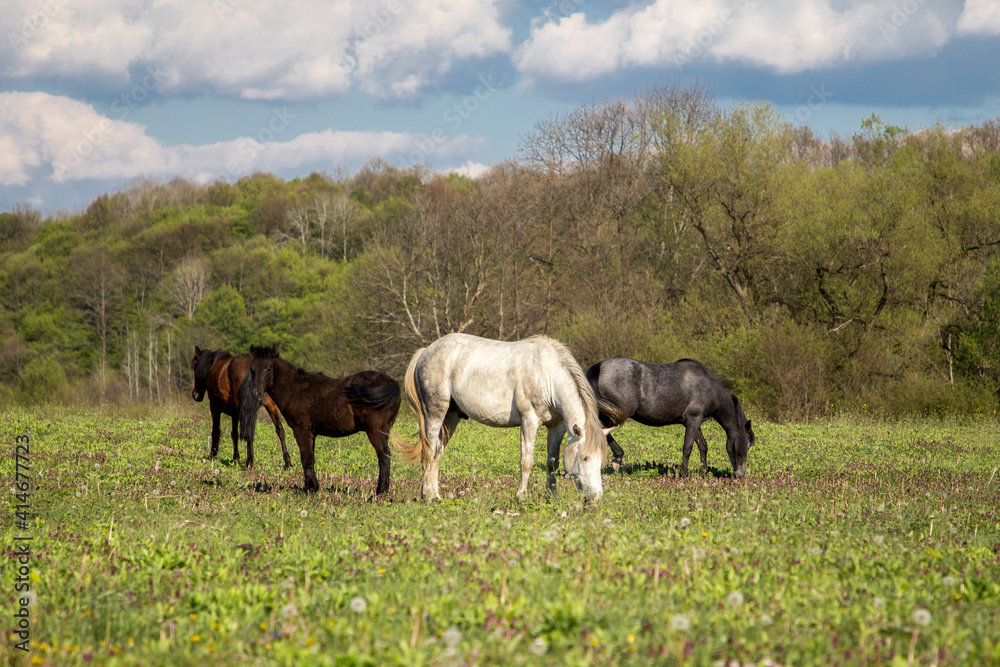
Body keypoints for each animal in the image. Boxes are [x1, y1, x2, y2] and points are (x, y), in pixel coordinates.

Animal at [239, 345, 402, 495]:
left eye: (268, 368)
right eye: (252, 369)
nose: (256, 394)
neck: (295, 388)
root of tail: (393, 384)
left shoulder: (302, 431)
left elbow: (306, 459)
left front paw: (309, 488)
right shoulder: (311, 433)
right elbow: (311, 458)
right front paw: (313, 486)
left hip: (375, 431)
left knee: (384, 457)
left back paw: (381, 491)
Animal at [396, 333, 607, 502]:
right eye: (585, 457)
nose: (596, 497)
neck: (547, 375)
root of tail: (426, 351)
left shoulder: (556, 427)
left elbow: (552, 463)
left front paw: (552, 497)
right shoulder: (529, 421)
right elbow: (526, 462)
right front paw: (521, 497)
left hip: (451, 417)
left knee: (437, 454)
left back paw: (435, 495)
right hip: (435, 413)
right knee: (429, 452)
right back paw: (428, 496)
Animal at [585, 357, 754, 478]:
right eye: (746, 445)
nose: (740, 474)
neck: (709, 388)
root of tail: (599, 366)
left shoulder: (694, 422)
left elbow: (703, 445)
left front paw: (703, 471)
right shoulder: (693, 420)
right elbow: (688, 447)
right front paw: (683, 473)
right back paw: (615, 459)